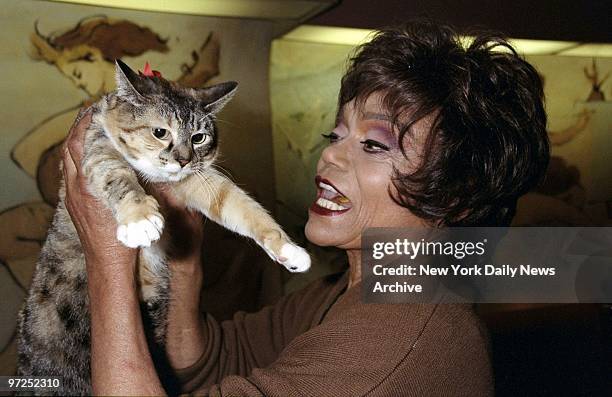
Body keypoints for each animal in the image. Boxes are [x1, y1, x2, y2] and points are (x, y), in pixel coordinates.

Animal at [17, 59, 310, 392]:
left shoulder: (199, 181)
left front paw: (288, 249)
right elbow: (114, 171)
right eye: (160, 132)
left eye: (199, 137)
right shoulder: (96, 142)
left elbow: (238, 204)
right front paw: (139, 218)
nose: (182, 160)